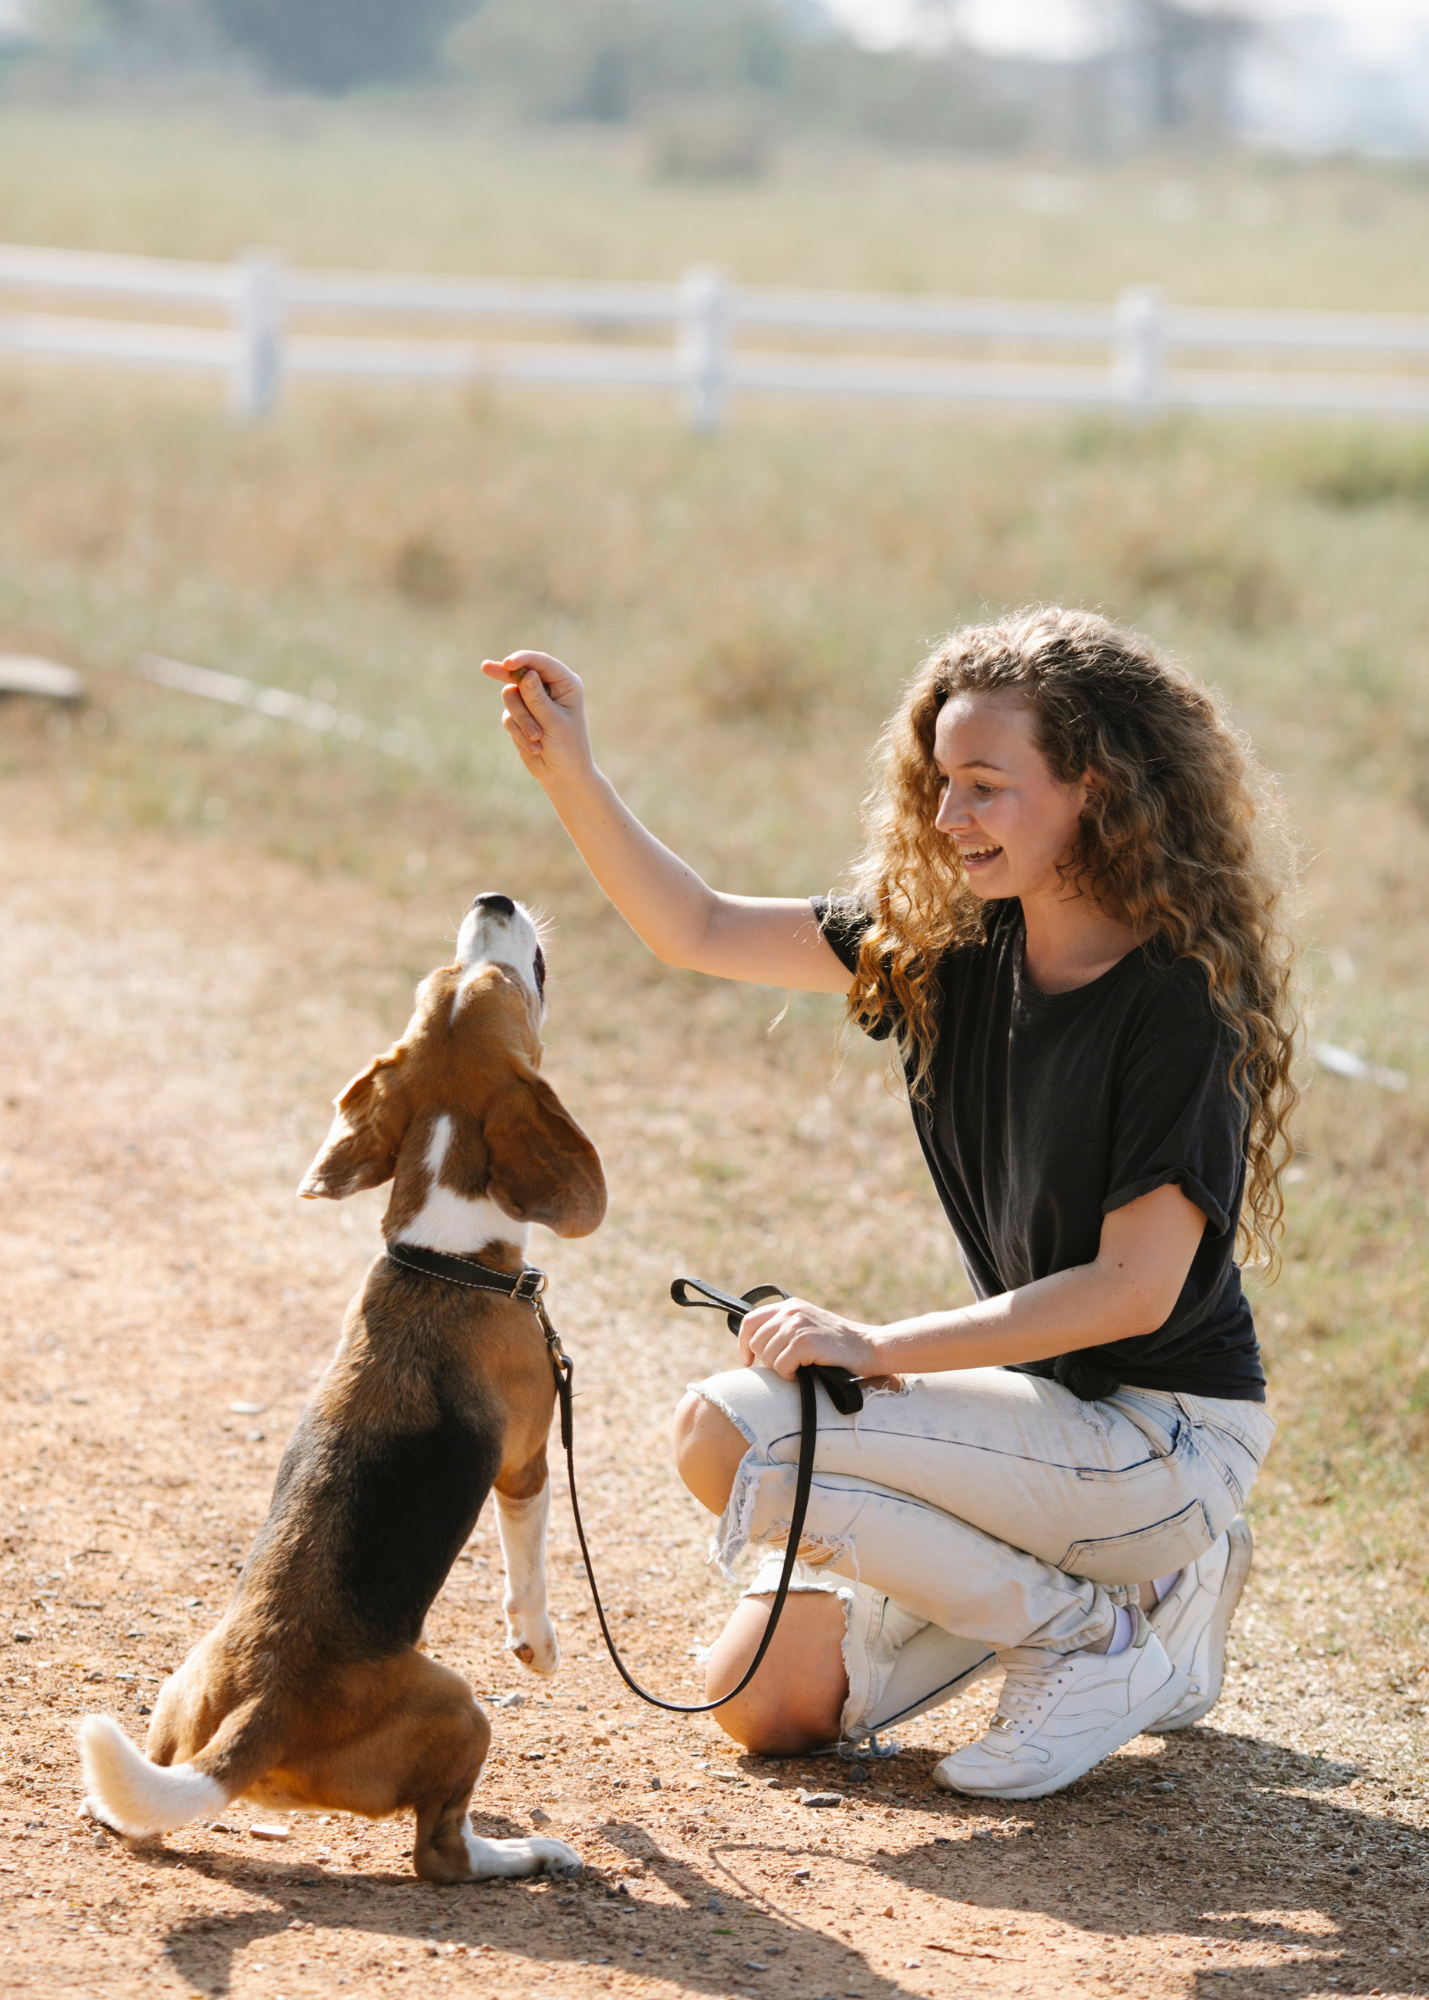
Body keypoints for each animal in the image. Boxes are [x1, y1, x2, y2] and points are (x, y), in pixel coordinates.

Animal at [79, 900, 600, 1880]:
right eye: (496, 983)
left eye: (445, 980)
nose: (493, 901)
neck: (443, 1256)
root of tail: (257, 1714)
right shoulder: (524, 1465)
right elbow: (530, 1566)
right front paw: (538, 1646)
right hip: (460, 1708)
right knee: (441, 1853)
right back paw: (528, 1851)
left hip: (177, 1698)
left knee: (133, 1810)